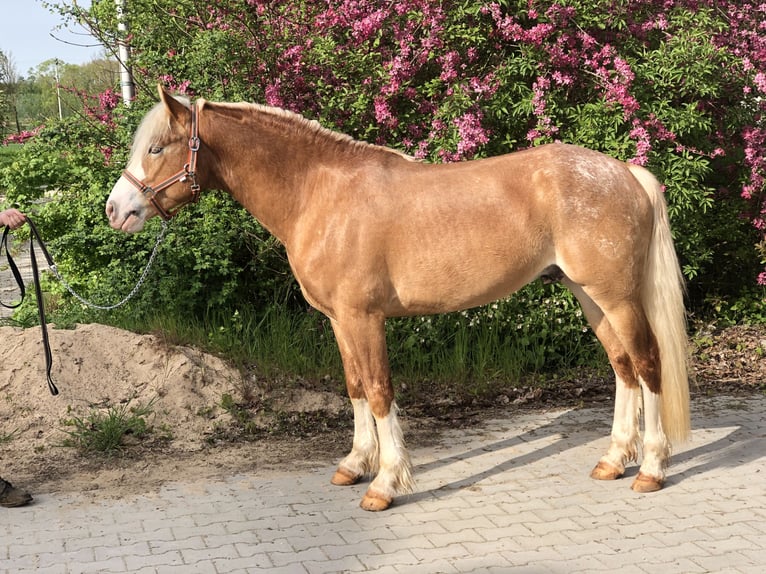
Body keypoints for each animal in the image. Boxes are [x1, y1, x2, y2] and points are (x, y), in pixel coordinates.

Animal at [106, 86, 688, 512]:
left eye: (156, 148)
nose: (116, 210)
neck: (320, 194)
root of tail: (624, 172)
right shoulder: (339, 321)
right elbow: (356, 387)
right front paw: (354, 464)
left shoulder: (364, 318)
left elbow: (382, 391)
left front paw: (385, 484)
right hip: (590, 297)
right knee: (623, 367)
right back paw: (613, 460)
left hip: (616, 297)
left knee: (647, 363)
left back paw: (650, 470)